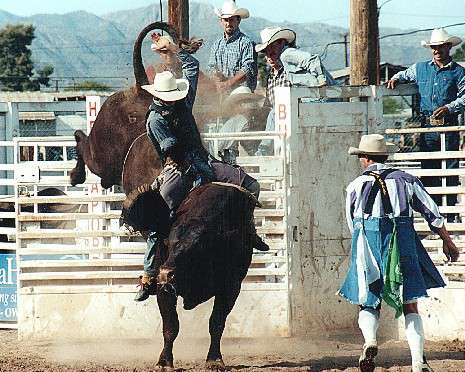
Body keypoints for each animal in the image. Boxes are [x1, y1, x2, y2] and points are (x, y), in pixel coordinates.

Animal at [69, 22, 258, 370]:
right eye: (171, 239)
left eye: (199, 245)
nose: (167, 273)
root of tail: (142, 89)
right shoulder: (165, 288)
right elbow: (171, 326)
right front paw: (164, 360)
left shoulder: (231, 285)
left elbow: (217, 322)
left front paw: (214, 358)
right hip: (102, 154)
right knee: (82, 140)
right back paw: (75, 174)